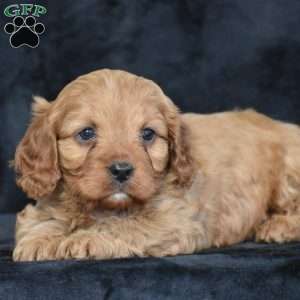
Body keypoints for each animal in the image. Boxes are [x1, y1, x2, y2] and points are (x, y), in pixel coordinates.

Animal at [12, 69, 300, 262]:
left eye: (148, 134)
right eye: (86, 133)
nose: (122, 170)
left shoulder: (175, 220)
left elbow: (124, 225)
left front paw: (85, 238)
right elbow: (38, 221)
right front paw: (38, 240)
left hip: (288, 176)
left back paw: (277, 227)